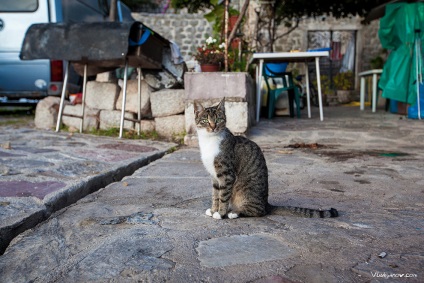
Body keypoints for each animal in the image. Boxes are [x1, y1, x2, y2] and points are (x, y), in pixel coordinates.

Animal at [195, 98, 338, 221]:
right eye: (205, 120)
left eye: (219, 119)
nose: (213, 126)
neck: (209, 141)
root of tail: (266, 203)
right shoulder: (214, 177)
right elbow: (215, 195)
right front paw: (213, 210)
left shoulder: (226, 174)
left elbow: (223, 196)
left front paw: (220, 213)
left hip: (246, 192)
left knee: (259, 211)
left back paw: (235, 212)